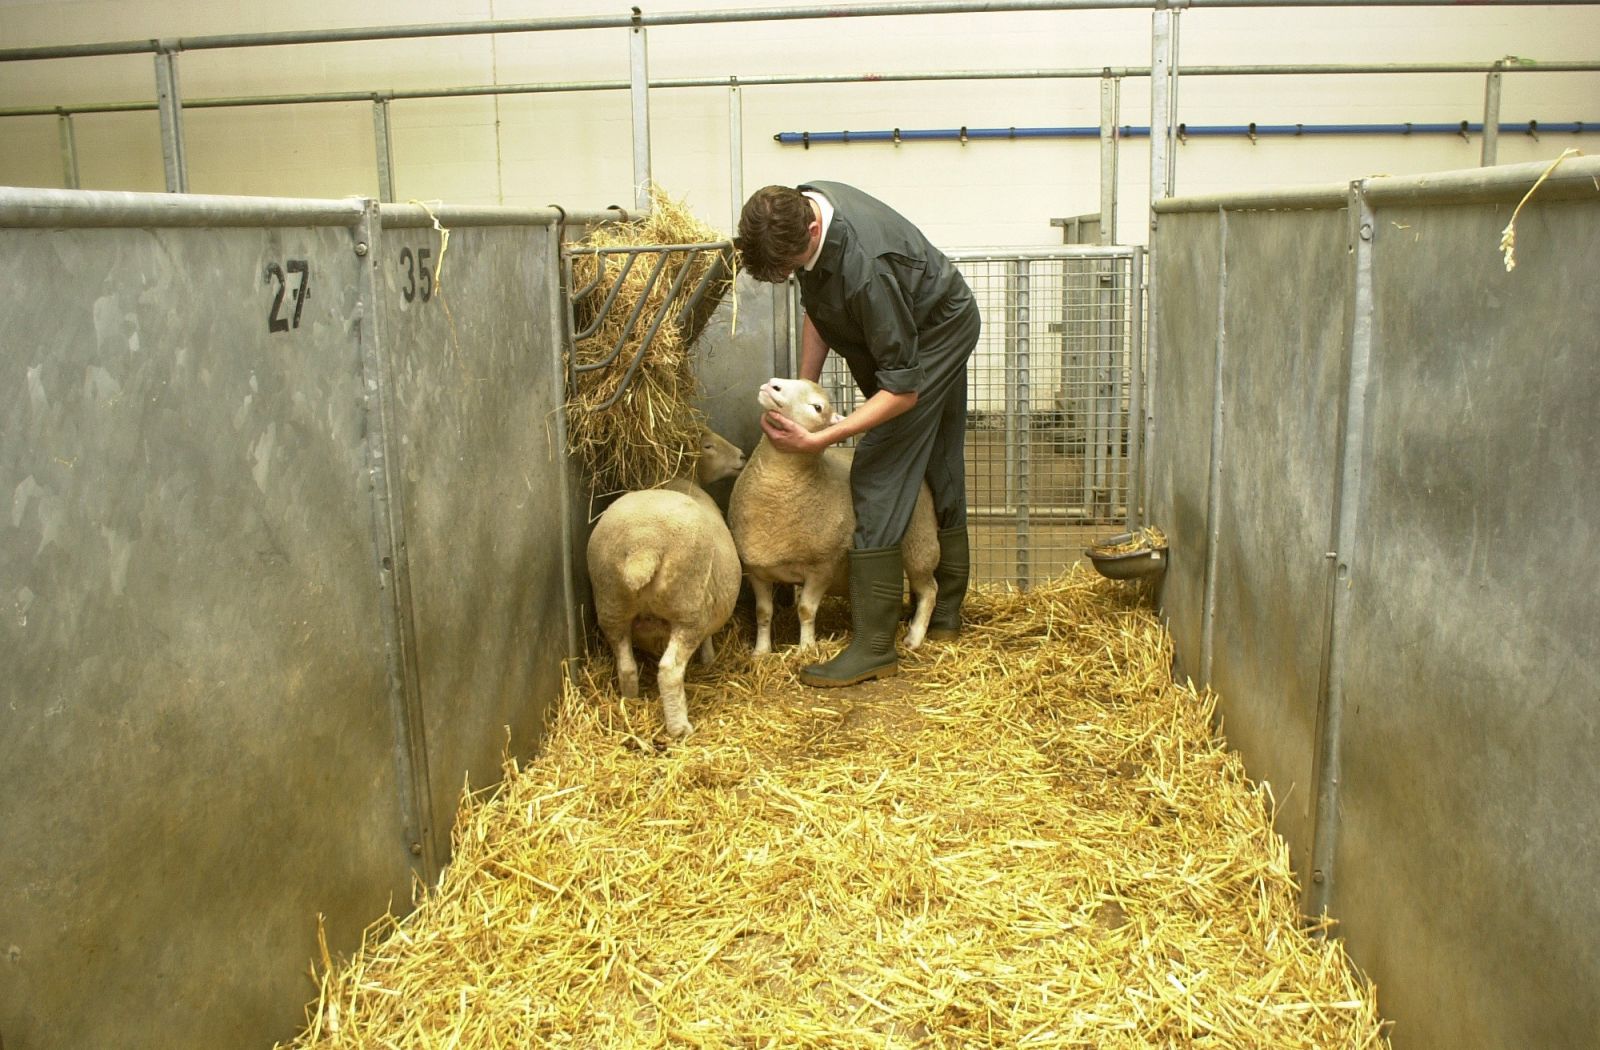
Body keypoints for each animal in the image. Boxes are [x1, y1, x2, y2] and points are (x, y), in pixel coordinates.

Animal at [585, 428, 745, 739]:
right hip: (687, 610)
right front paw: (709, 658)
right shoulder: (706, 602)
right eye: (708, 446)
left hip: (611, 606)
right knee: (670, 671)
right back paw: (680, 727)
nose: (743, 456)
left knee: (626, 666)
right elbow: (708, 639)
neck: (682, 479)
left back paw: (630, 701)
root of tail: (643, 546)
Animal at [729, 379, 934, 672]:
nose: (773, 385)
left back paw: (915, 637)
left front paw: (805, 648)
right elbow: (763, 613)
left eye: (817, 407)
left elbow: (805, 610)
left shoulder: (822, 566)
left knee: (929, 590)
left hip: (921, 542)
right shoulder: (756, 570)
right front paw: (760, 651)